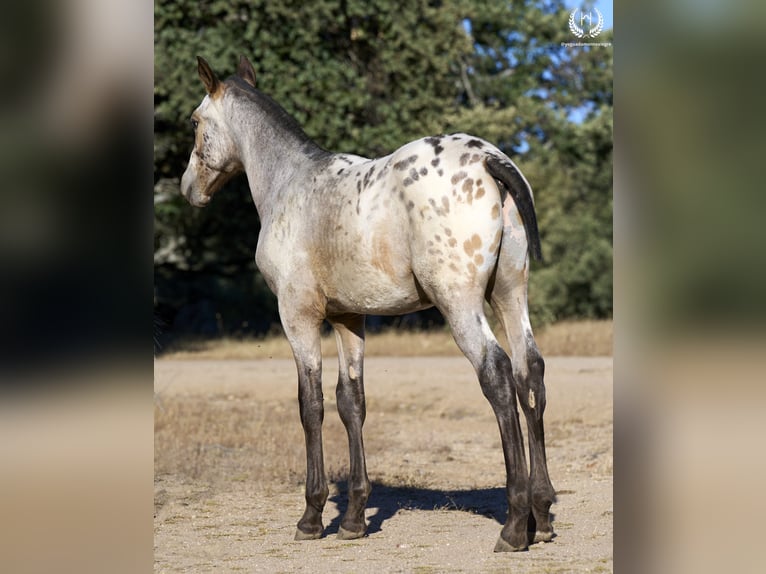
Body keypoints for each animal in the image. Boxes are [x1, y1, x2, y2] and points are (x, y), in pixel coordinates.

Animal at [183, 55, 556, 552]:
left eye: (195, 122)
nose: (188, 188)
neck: (292, 184)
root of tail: (487, 158)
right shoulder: (348, 317)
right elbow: (351, 401)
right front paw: (355, 518)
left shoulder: (298, 316)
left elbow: (311, 405)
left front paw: (312, 516)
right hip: (509, 295)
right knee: (528, 373)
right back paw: (542, 514)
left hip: (460, 304)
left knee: (496, 375)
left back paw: (515, 526)